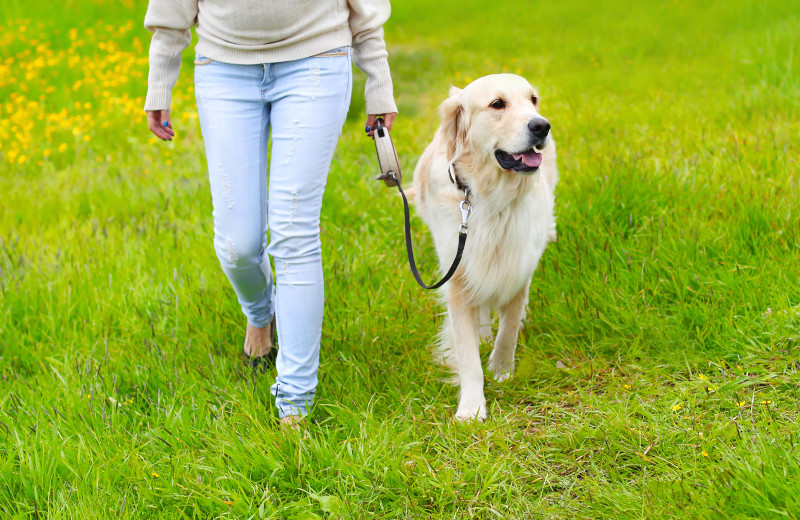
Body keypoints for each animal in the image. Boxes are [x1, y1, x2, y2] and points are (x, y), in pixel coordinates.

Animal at [412, 74, 556, 422]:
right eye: (497, 104)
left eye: (533, 100)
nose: (542, 126)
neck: (493, 200)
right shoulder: (458, 276)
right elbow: (467, 356)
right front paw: (471, 407)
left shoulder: (517, 266)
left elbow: (510, 328)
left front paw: (502, 370)